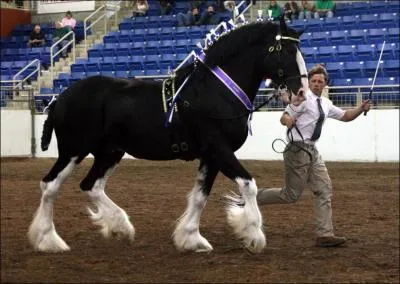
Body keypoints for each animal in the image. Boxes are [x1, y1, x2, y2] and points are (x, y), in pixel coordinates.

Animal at [28, 20, 310, 255]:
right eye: (286, 50)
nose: (301, 93)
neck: (216, 91)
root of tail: (60, 97)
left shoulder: (211, 156)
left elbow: (200, 196)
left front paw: (191, 239)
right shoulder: (219, 149)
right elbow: (248, 184)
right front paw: (253, 235)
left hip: (109, 152)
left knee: (91, 185)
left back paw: (120, 227)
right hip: (73, 151)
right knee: (50, 186)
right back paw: (49, 240)